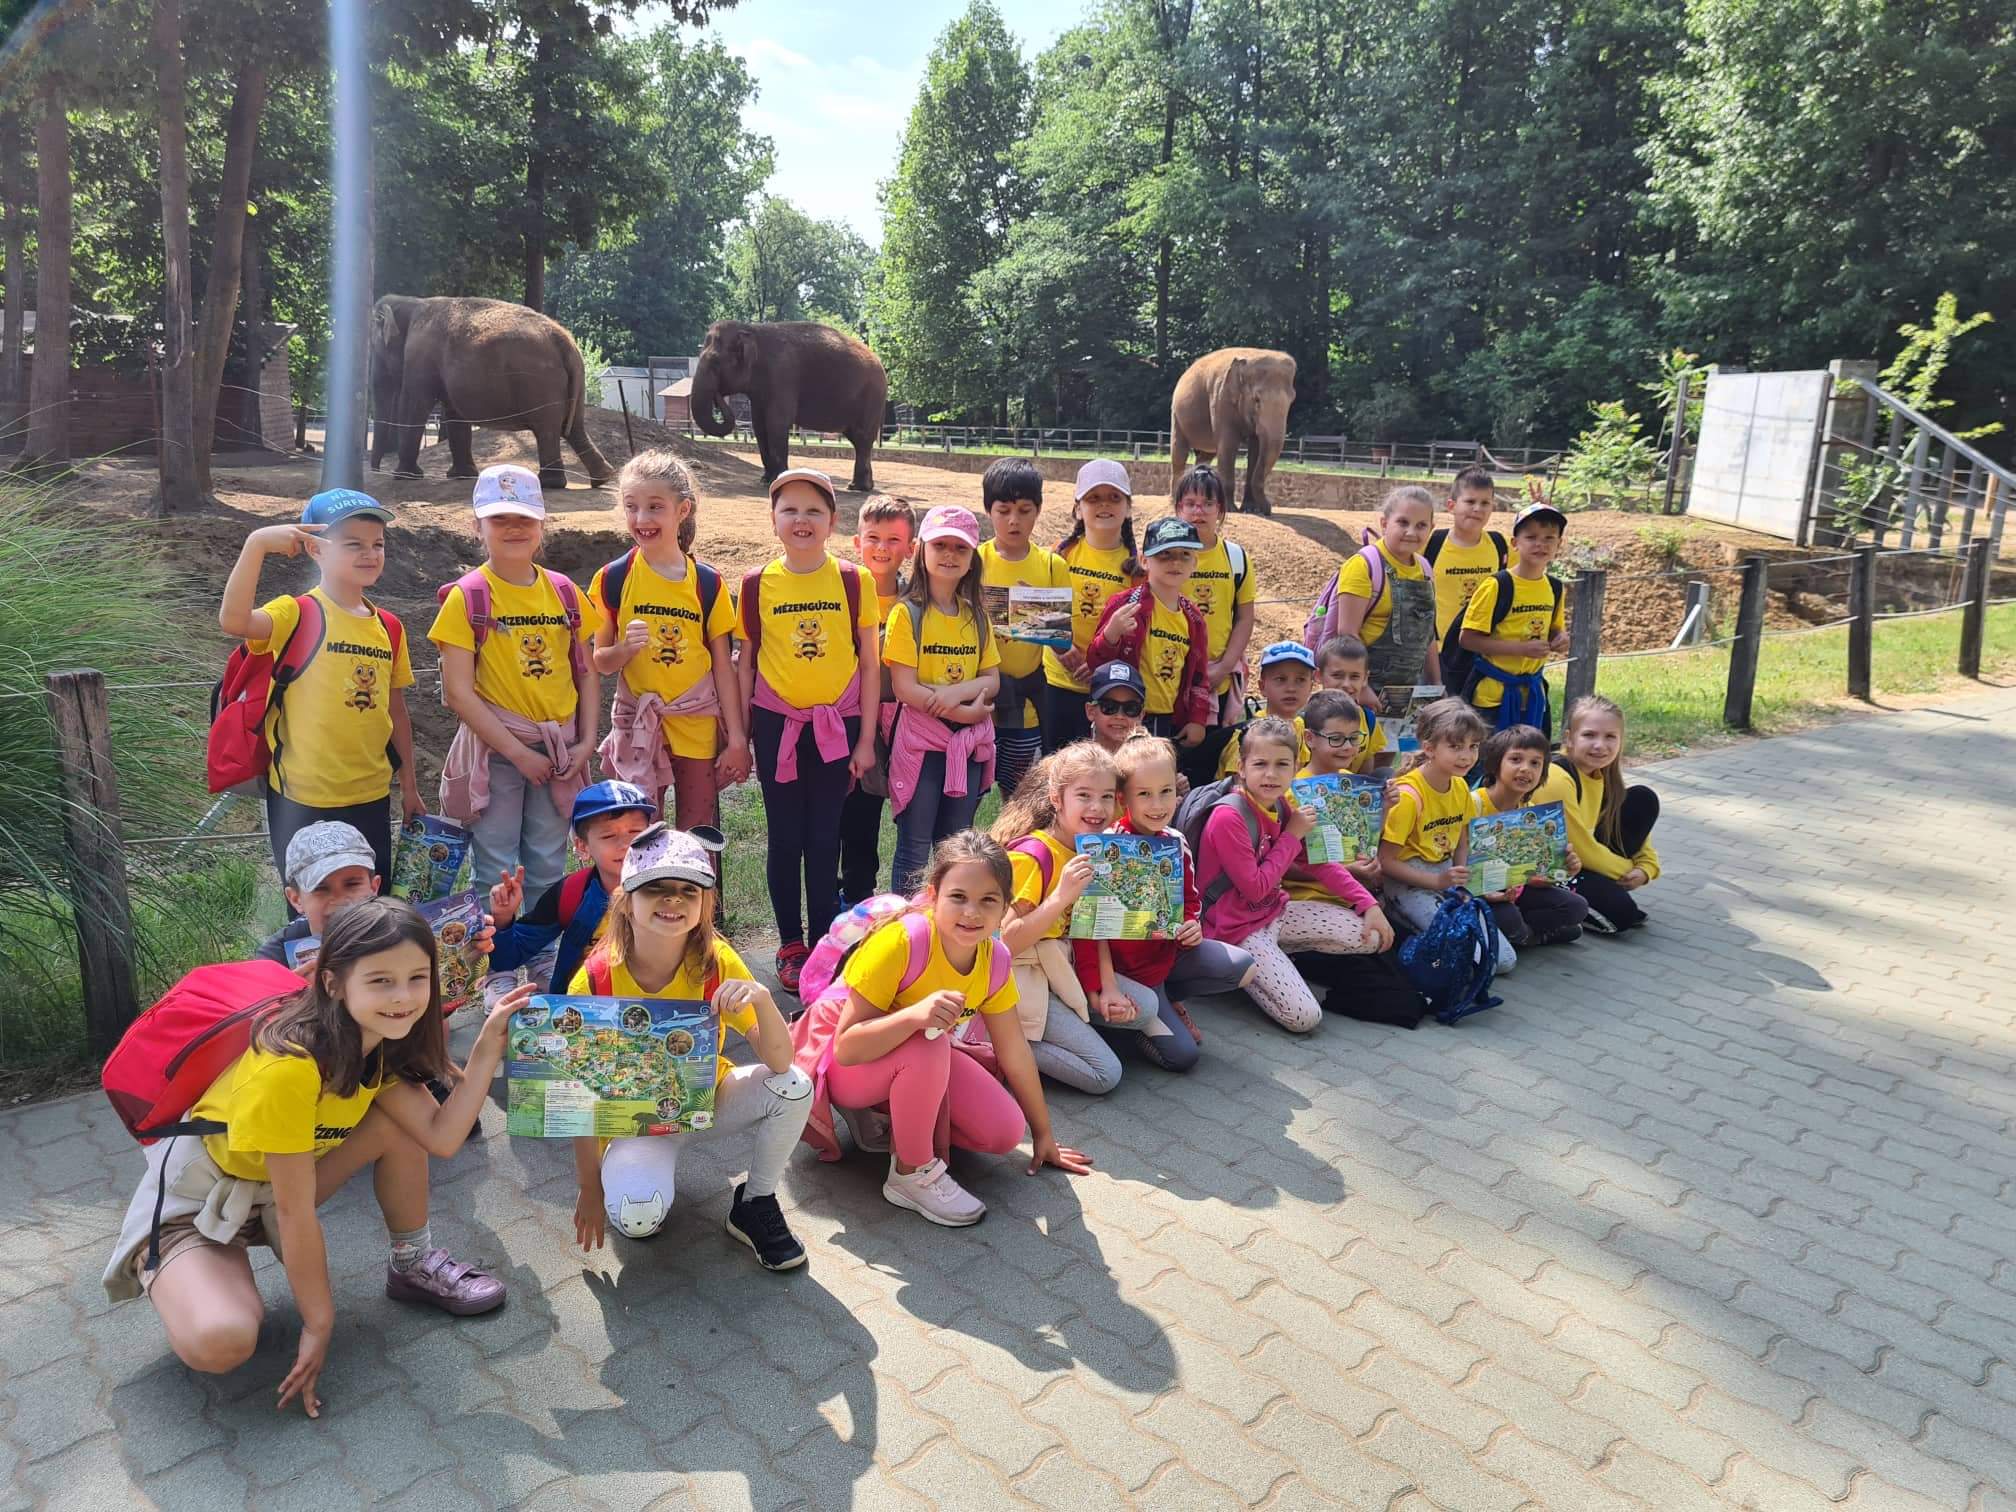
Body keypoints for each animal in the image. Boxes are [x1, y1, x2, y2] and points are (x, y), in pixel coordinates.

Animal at [368, 295, 614, 490]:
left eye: (375, 351)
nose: (375, 469)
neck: (411, 302)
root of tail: (563, 340)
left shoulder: (420, 359)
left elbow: (414, 404)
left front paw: (404, 476)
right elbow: (454, 414)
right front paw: (461, 476)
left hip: (541, 384)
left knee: (548, 429)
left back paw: (550, 484)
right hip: (571, 383)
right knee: (573, 429)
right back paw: (602, 478)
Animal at [690, 319, 887, 492]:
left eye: (715, 363)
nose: (717, 395)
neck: (752, 330)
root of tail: (880, 362)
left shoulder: (782, 376)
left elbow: (776, 424)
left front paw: (777, 479)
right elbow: (759, 426)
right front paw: (765, 480)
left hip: (872, 398)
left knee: (862, 438)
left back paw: (858, 487)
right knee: (857, 440)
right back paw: (860, 486)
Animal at [1169, 347, 1298, 515]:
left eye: (1292, 400)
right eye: (1256, 399)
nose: (1268, 509)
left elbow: (1256, 448)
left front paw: (1250, 509)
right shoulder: (1221, 398)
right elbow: (1228, 445)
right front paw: (1230, 509)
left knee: (1206, 455)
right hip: (1176, 414)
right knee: (1179, 452)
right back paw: (1174, 501)